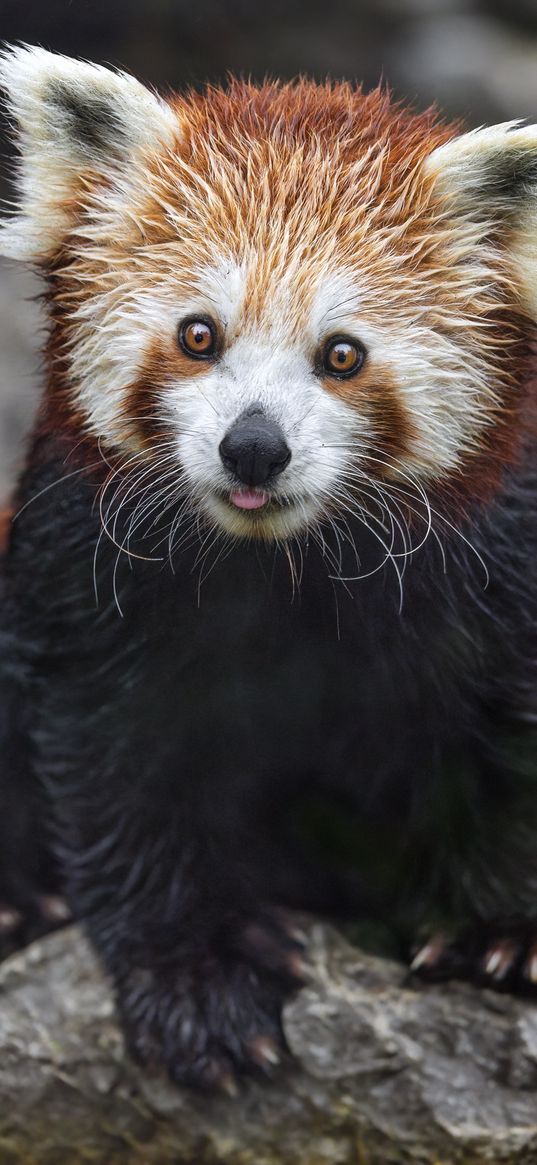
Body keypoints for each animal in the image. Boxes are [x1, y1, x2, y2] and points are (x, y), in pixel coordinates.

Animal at [1, 45, 535, 1085]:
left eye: (343, 354)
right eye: (198, 334)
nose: (253, 448)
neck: (281, 566)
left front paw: (496, 929)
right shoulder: (80, 571)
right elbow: (121, 777)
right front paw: (197, 981)